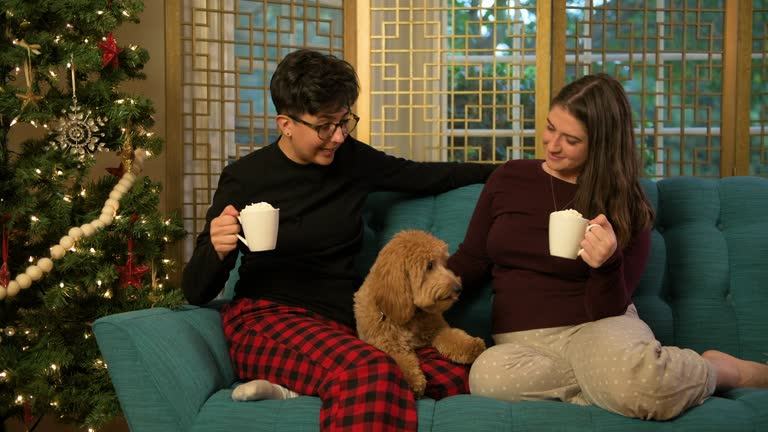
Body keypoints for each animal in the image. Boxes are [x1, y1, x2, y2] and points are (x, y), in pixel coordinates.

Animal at [354, 230, 486, 398]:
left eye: (444, 263)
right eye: (429, 265)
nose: (458, 288)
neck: (412, 315)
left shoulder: (437, 328)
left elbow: (452, 336)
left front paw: (471, 346)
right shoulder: (387, 343)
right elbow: (401, 360)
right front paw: (412, 381)